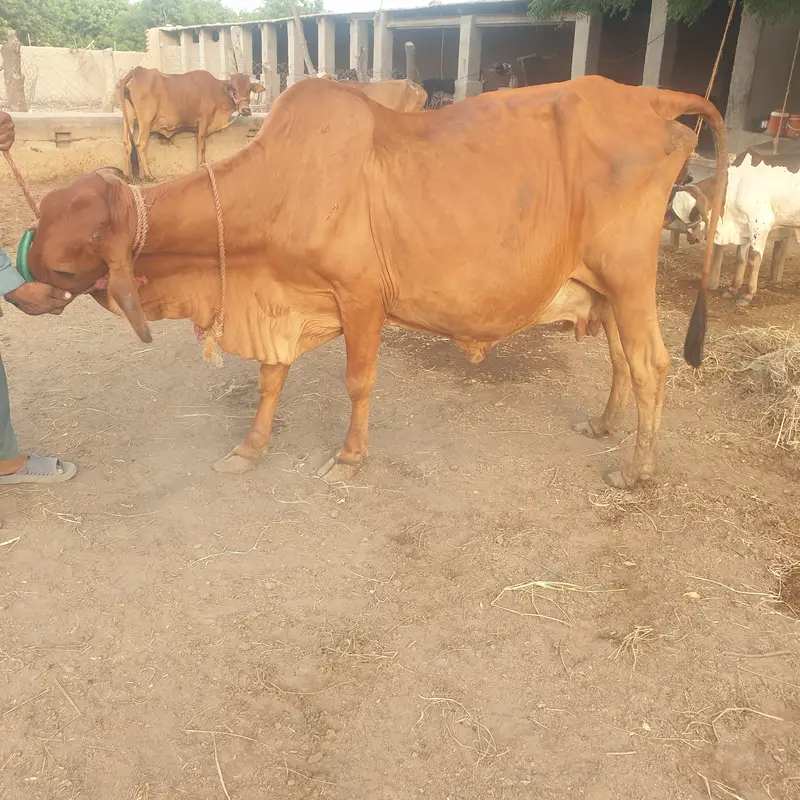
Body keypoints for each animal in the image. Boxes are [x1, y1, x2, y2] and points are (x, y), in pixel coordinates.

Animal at [118, 67, 265, 181]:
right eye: (234, 89)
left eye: (249, 89)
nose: (245, 110)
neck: (216, 91)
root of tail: (137, 71)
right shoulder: (203, 123)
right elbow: (201, 147)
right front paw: (199, 168)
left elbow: (203, 148)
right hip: (146, 120)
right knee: (139, 144)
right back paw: (148, 175)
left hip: (128, 118)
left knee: (126, 143)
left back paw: (127, 175)